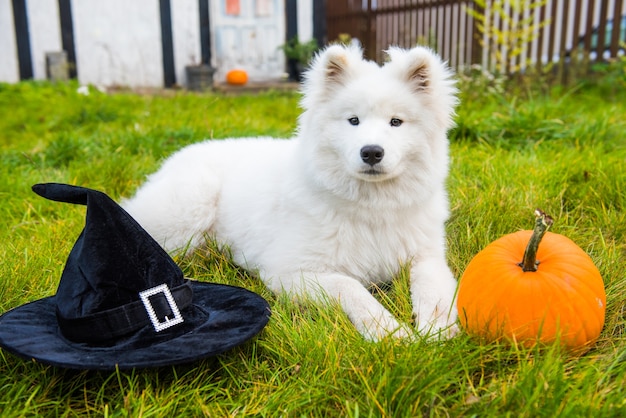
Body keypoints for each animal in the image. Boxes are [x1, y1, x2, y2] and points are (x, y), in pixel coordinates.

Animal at [120, 44, 458, 342]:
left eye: (396, 122)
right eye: (353, 120)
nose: (372, 152)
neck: (371, 207)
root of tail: (177, 157)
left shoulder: (426, 256)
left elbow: (436, 288)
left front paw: (438, 329)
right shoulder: (287, 271)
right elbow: (350, 287)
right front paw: (389, 331)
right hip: (191, 207)